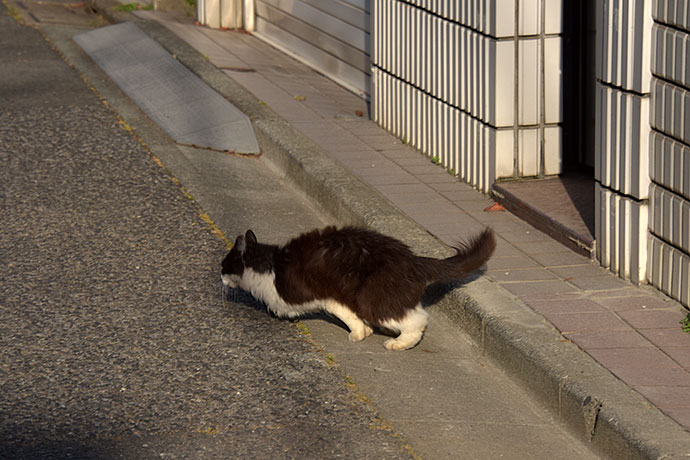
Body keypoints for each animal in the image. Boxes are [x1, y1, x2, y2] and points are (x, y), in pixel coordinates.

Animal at [220, 226, 494, 348]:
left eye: (224, 263)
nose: (219, 273)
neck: (271, 267)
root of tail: (413, 260)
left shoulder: (325, 295)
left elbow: (346, 315)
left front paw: (358, 333)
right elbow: (352, 317)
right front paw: (365, 331)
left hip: (372, 298)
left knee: (418, 320)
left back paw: (399, 342)